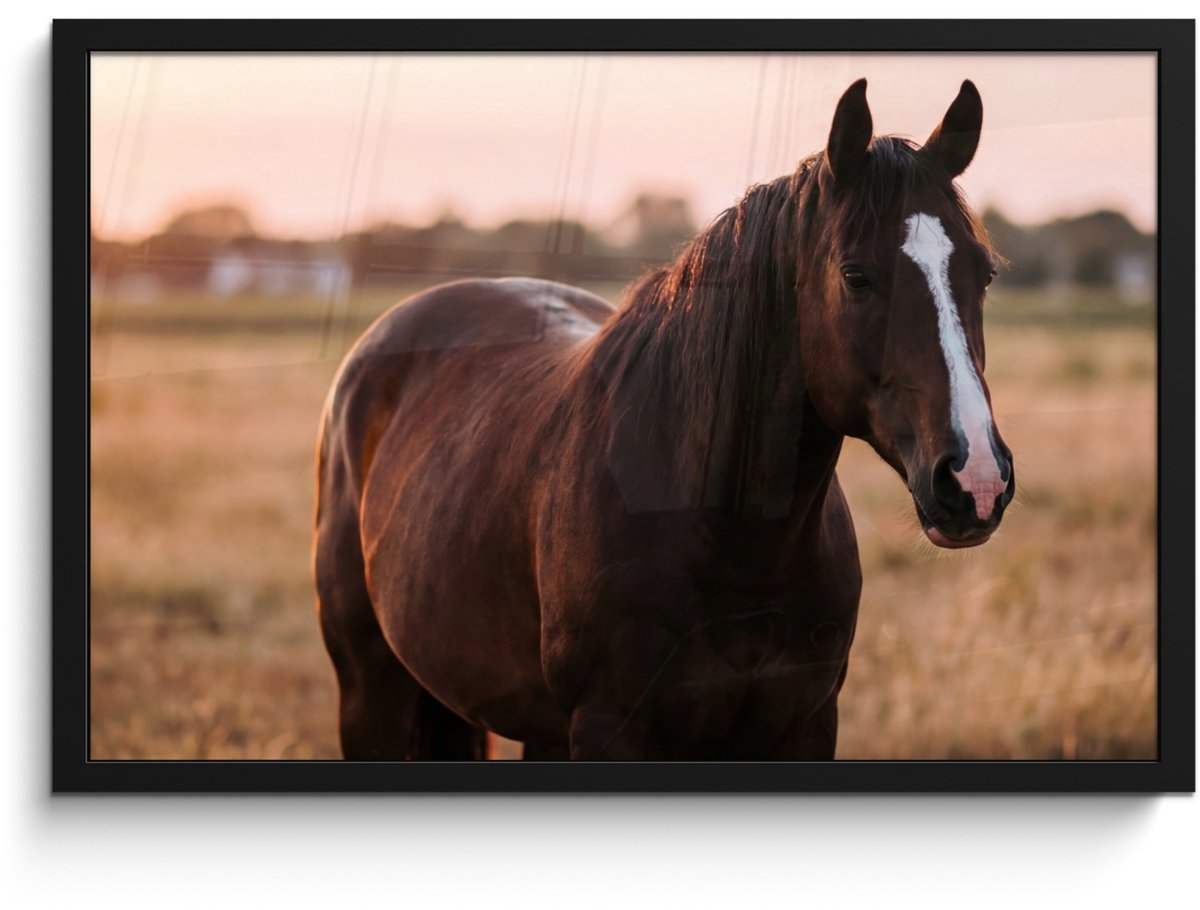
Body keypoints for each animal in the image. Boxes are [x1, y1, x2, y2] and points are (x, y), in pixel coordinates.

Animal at [313, 78, 1015, 760]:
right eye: (856, 276)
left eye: (984, 274)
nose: (976, 479)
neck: (731, 542)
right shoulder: (610, 729)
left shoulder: (806, 726)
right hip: (370, 694)